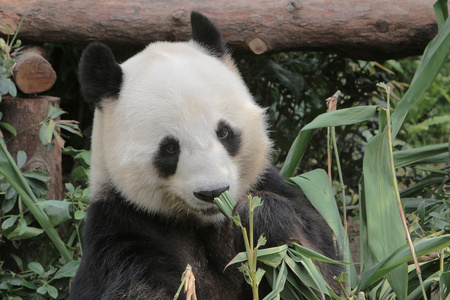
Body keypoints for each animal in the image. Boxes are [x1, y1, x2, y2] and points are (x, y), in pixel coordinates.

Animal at [68, 11, 340, 300]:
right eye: (170, 148)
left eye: (224, 132)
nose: (214, 192)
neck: (205, 223)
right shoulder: (121, 234)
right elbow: (138, 287)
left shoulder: (271, 186)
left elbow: (319, 269)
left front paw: (258, 217)